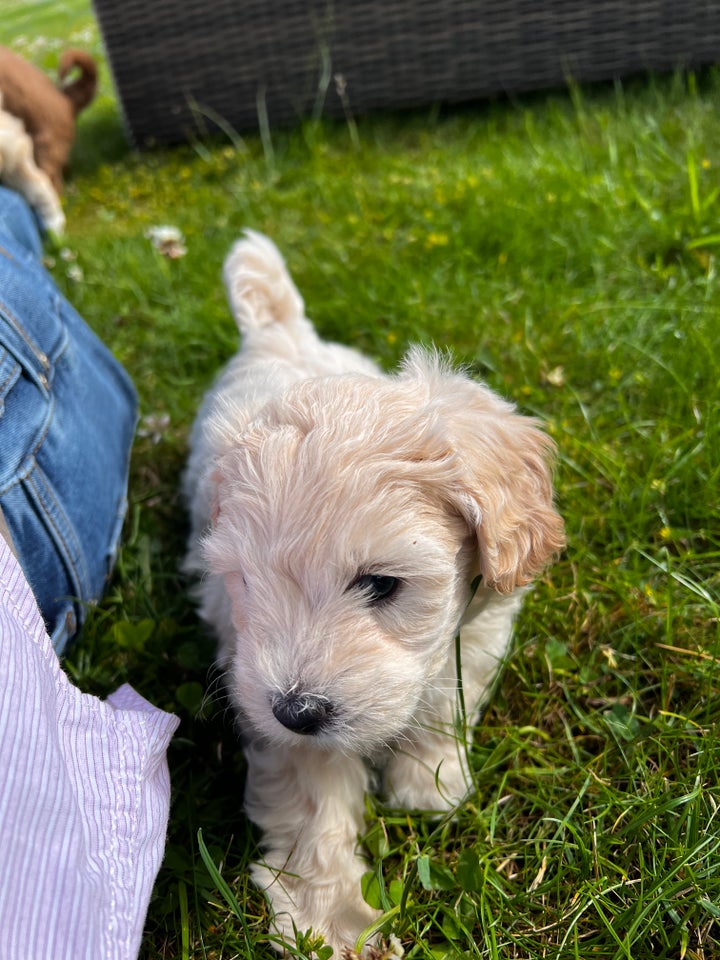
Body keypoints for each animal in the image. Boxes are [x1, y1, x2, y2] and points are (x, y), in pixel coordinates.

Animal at [183, 231, 564, 952]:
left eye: (382, 584)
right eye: (246, 582)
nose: (296, 711)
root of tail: (278, 329)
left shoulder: (477, 620)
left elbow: (446, 691)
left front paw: (429, 782)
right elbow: (313, 803)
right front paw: (331, 921)